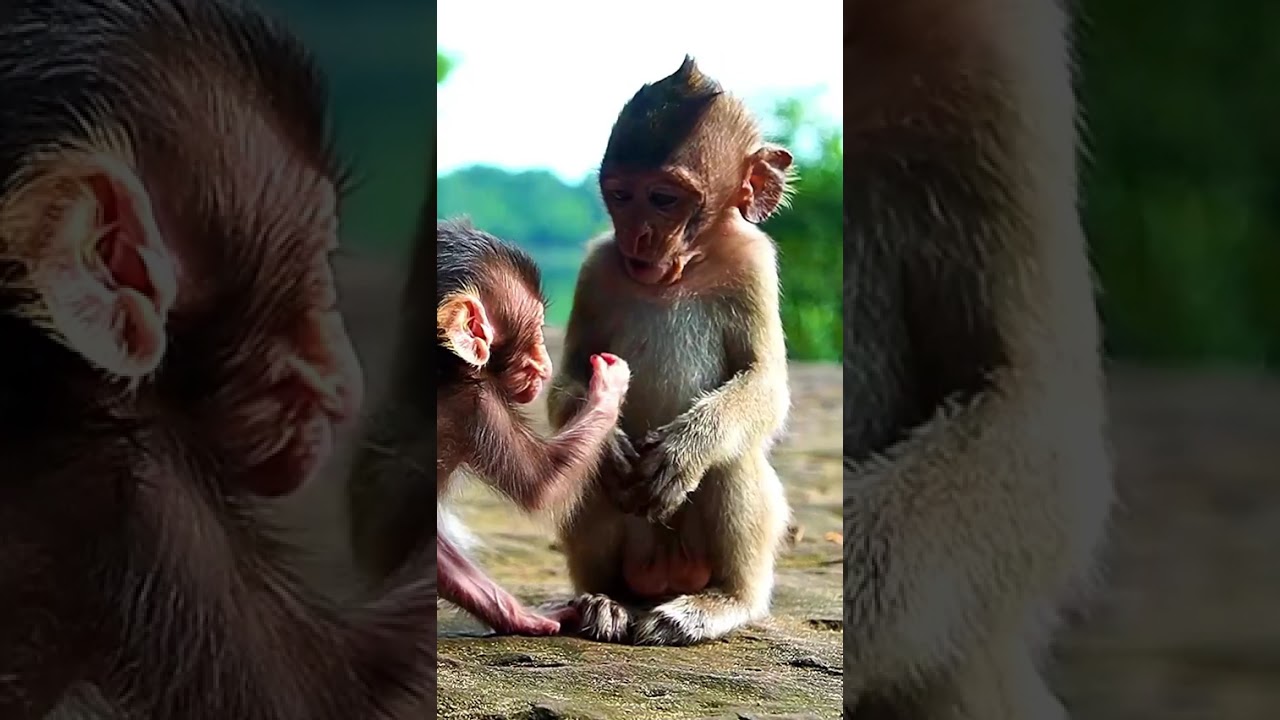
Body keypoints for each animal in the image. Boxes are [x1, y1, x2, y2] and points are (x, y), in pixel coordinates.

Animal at [345, 218, 631, 637]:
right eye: (537, 331)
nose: (545, 363)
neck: (445, 366)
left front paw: (514, 613)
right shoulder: (478, 403)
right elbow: (541, 482)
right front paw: (609, 384)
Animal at [545, 56, 794, 647]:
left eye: (663, 198)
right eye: (620, 195)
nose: (638, 236)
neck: (687, 268)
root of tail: (662, 573)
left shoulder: (753, 263)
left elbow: (765, 383)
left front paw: (683, 451)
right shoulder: (597, 268)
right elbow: (569, 375)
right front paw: (607, 441)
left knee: (734, 457)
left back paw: (720, 602)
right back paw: (604, 600)